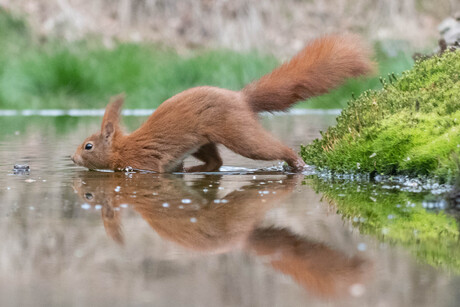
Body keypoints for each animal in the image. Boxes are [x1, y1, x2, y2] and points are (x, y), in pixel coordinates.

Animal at [71, 35, 374, 173]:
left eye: (88, 146)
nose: (72, 158)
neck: (123, 148)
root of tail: (240, 97)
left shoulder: (143, 164)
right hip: (202, 142)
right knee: (215, 162)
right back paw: (194, 170)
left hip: (238, 133)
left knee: (268, 148)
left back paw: (296, 163)